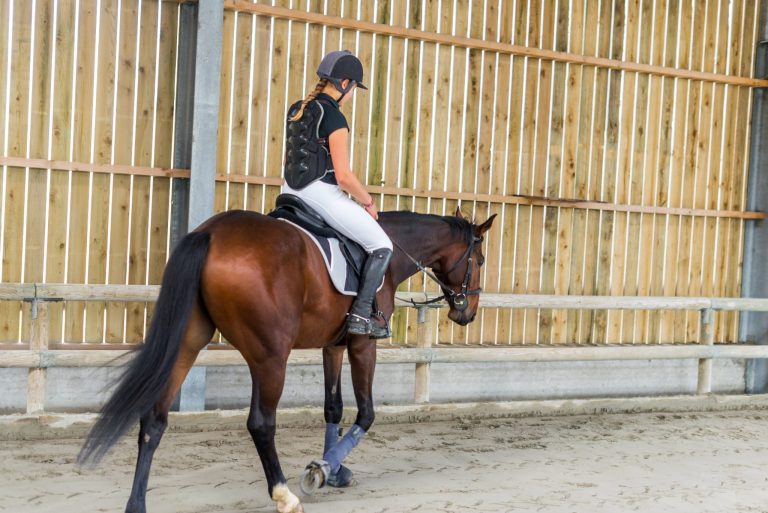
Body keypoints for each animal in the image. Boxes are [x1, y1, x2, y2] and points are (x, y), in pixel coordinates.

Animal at [79, 205, 498, 512]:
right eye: (479, 259)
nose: (467, 313)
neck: (389, 255)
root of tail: (211, 233)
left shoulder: (334, 345)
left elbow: (333, 408)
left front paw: (335, 469)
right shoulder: (364, 344)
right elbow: (365, 413)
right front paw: (320, 470)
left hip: (188, 343)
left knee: (154, 419)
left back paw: (136, 504)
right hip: (270, 357)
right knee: (261, 423)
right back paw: (284, 496)